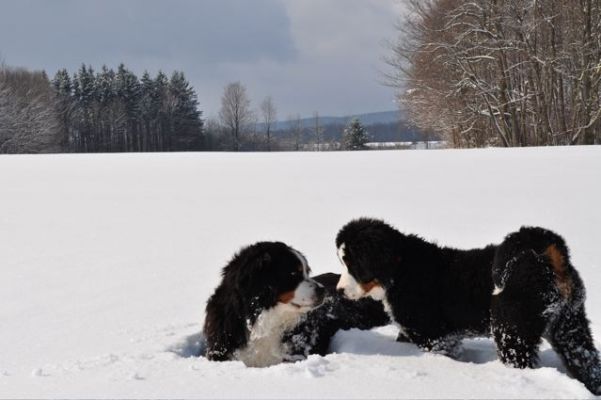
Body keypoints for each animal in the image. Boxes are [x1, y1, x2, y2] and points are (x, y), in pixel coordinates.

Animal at [336, 217, 596, 396]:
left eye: (353, 264)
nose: (338, 290)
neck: (399, 270)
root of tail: (545, 251)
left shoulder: (434, 336)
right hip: (570, 327)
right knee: (588, 363)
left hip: (512, 331)